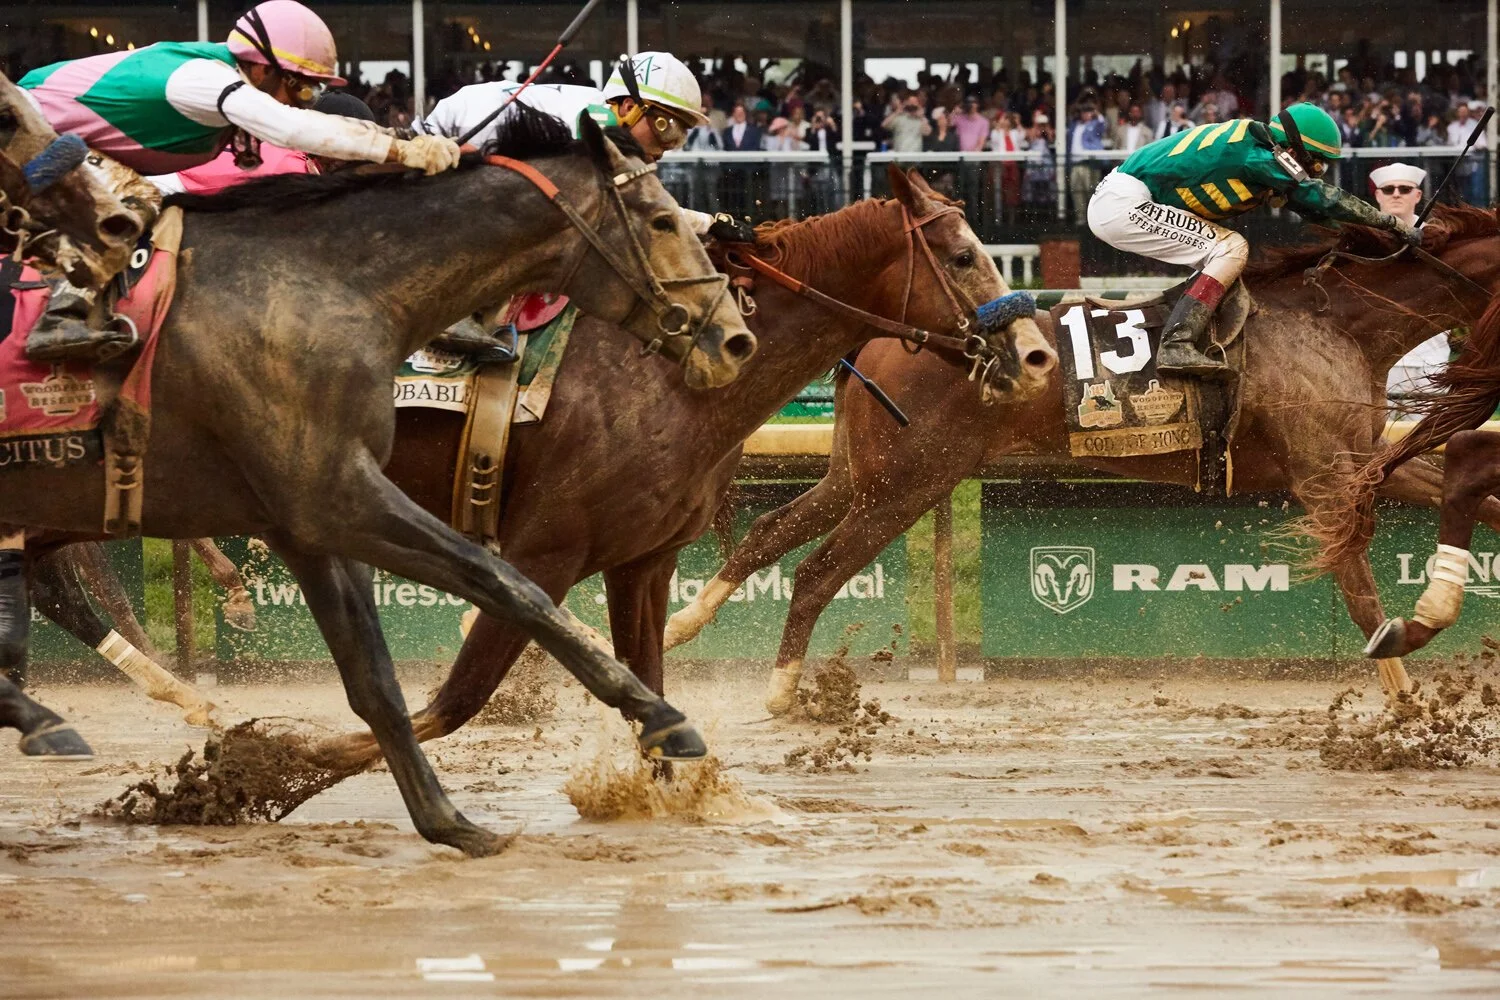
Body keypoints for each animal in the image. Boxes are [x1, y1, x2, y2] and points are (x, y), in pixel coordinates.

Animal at [0, 105, 754, 856]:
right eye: (660, 219)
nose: (732, 340)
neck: (323, 288)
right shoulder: (339, 496)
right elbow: (505, 586)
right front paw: (660, 716)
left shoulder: (306, 522)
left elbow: (376, 679)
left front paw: (446, 820)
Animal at [664, 205, 1500, 710]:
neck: (1340, 321)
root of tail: (884, 335)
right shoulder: (1325, 479)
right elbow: (1361, 591)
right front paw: (1405, 700)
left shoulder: (1366, 462)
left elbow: (1475, 499)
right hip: (910, 481)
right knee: (815, 569)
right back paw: (779, 690)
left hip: (863, 473)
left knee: (772, 531)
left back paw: (681, 626)